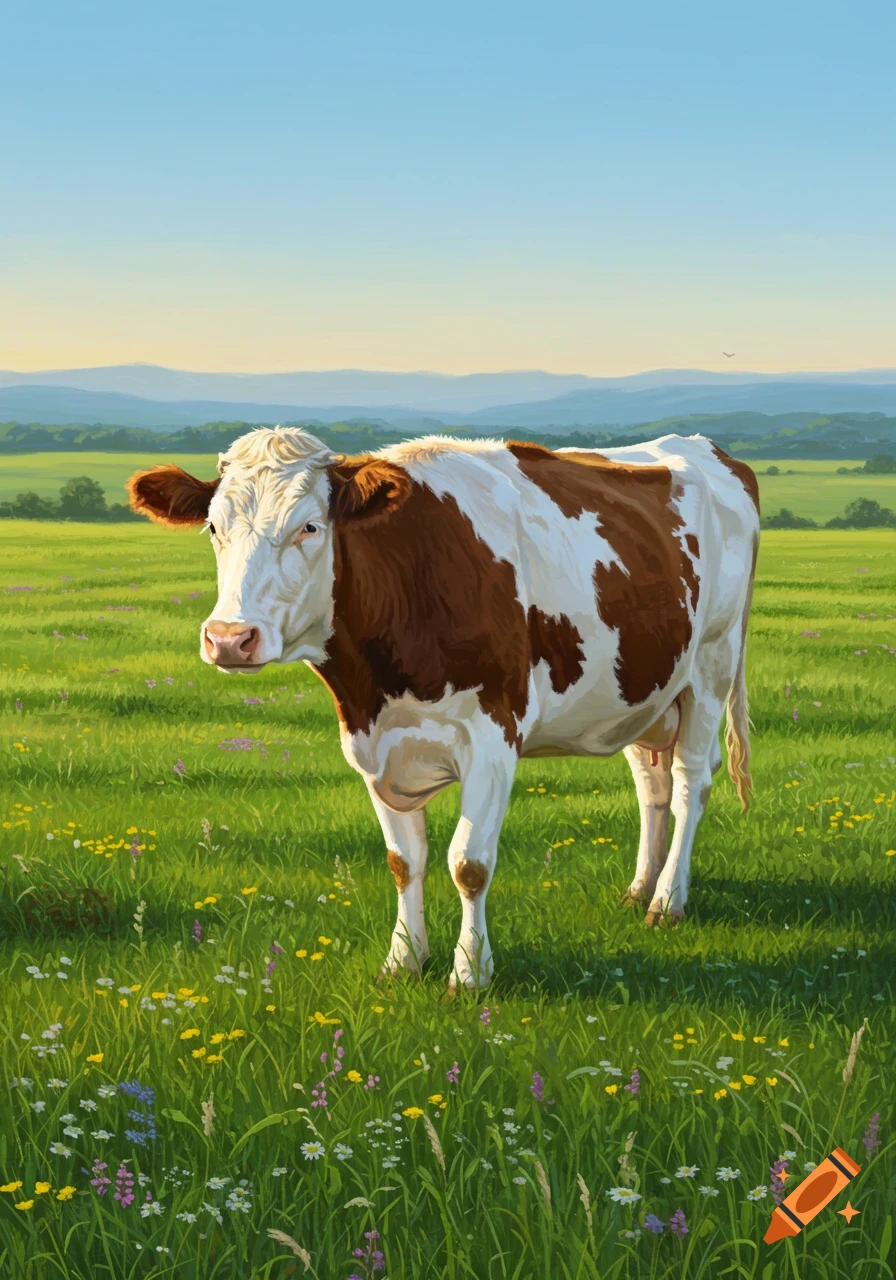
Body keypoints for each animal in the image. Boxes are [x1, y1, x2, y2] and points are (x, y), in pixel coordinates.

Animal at [128, 427, 759, 990]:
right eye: (214, 527)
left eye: (309, 526)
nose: (230, 639)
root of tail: (708, 448)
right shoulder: (374, 744)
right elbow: (404, 860)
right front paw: (403, 963)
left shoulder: (494, 738)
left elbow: (468, 862)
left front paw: (469, 974)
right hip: (642, 690)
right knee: (652, 787)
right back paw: (638, 890)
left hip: (710, 666)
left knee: (690, 782)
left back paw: (667, 901)